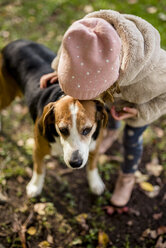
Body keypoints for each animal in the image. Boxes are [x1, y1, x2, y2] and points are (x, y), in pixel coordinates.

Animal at [0, 39, 107, 198]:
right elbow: (39, 169)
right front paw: (35, 186)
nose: (75, 163)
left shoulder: (96, 144)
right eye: (62, 129)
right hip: (7, 95)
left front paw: (95, 183)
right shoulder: (38, 149)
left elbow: (92, 166)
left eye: (87, 130)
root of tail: (16, 42)